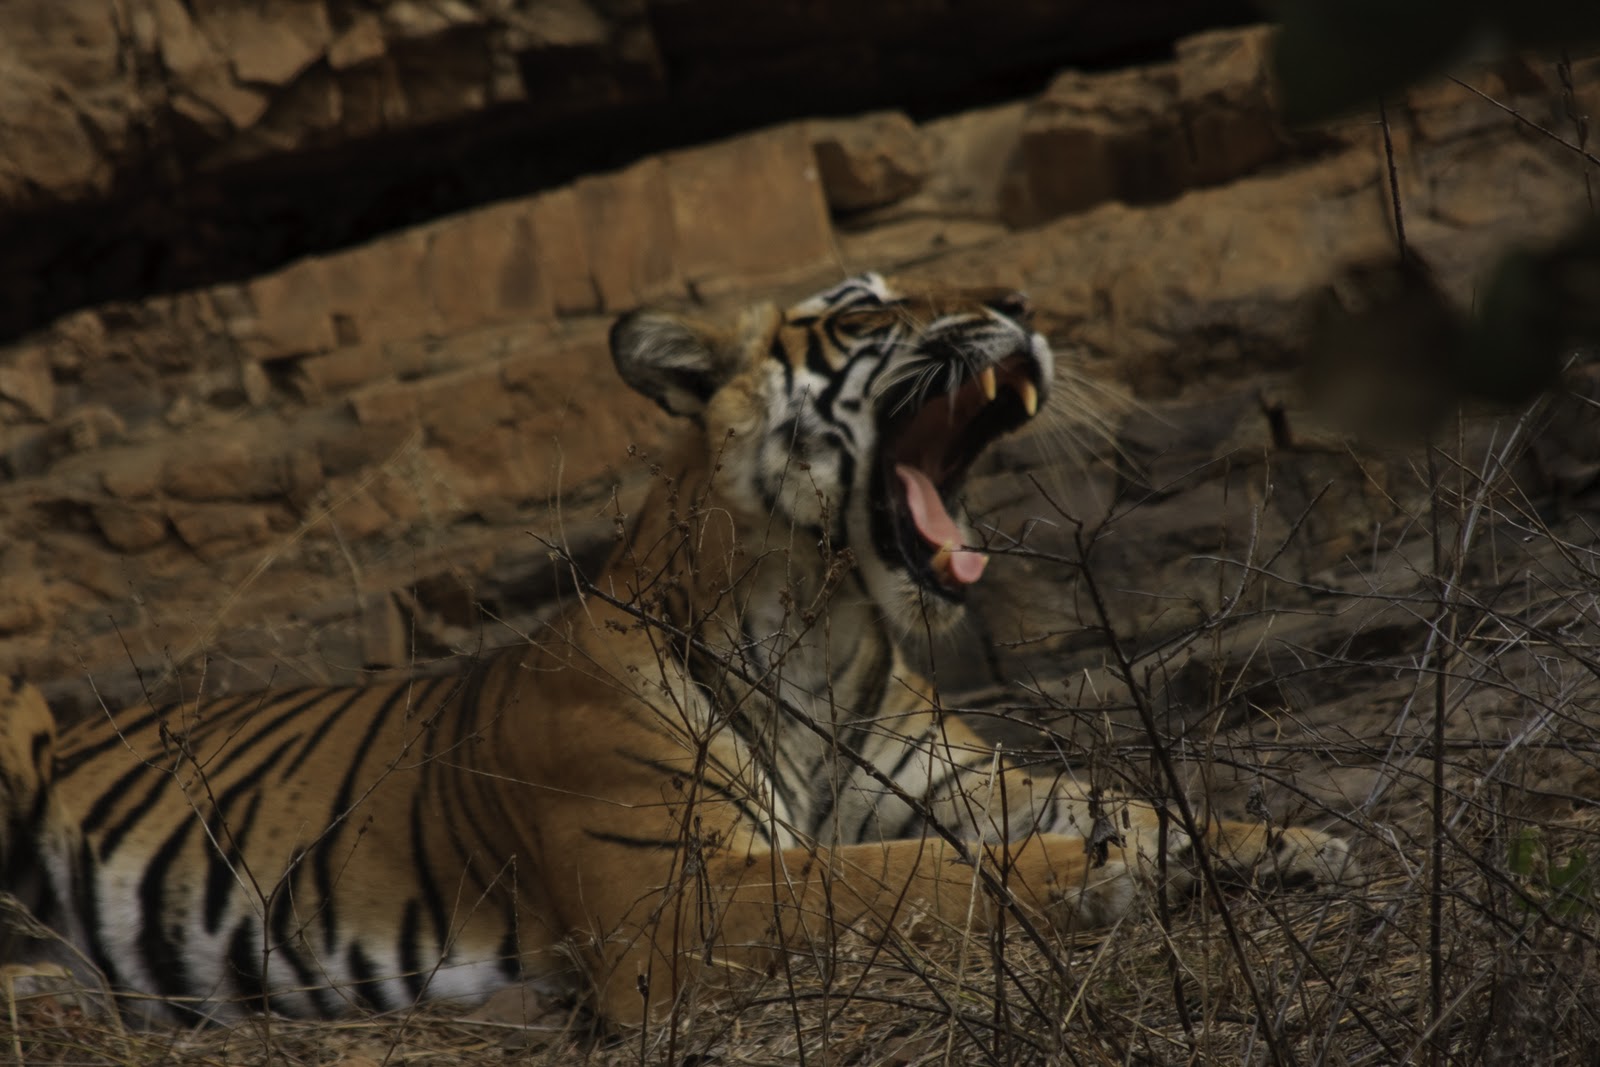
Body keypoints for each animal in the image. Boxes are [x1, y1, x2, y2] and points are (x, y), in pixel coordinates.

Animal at [0, 273, 1355, 1027]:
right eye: (868, 310)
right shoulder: (673, 893)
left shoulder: (971, 779)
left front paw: (1297, 842)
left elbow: (1141, 797)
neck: (827, 618)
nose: (1019, 307)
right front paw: (1098, 873)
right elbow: (900, 877)